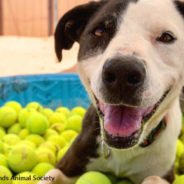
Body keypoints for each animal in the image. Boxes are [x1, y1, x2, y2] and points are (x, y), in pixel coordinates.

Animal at [37, 0, 184, 183]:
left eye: (166, 37)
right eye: (99, 31)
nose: (122, 71)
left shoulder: (163, 174)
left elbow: (153, 178)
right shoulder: (66, 165)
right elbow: (52, 175)